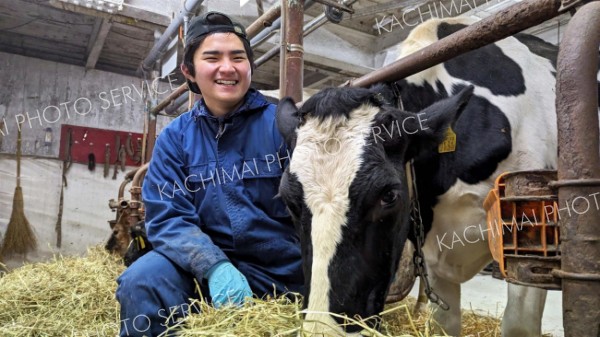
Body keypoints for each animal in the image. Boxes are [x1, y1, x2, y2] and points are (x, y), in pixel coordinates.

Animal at [276, 16, 596, 336]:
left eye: (388, 195)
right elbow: (444, 323)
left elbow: (518, 325)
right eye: (287, 201)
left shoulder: (530, 235)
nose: (323, 329)